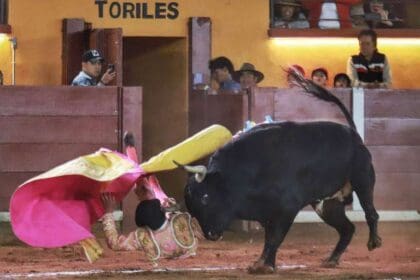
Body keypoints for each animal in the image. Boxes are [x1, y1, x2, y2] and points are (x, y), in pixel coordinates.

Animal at [179, 83, 382, 274]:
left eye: (206, 197)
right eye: (192, 208)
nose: (211, 234)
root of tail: (353, 135)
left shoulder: (287, 208)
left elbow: (275, 238)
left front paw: (264, 266)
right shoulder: (267, 213)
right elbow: (270, 238)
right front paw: (264, 264)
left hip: (363, 179)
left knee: (370, 212)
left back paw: (374, 242)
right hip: (327, 204)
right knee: (347, 228)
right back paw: (331, 260)